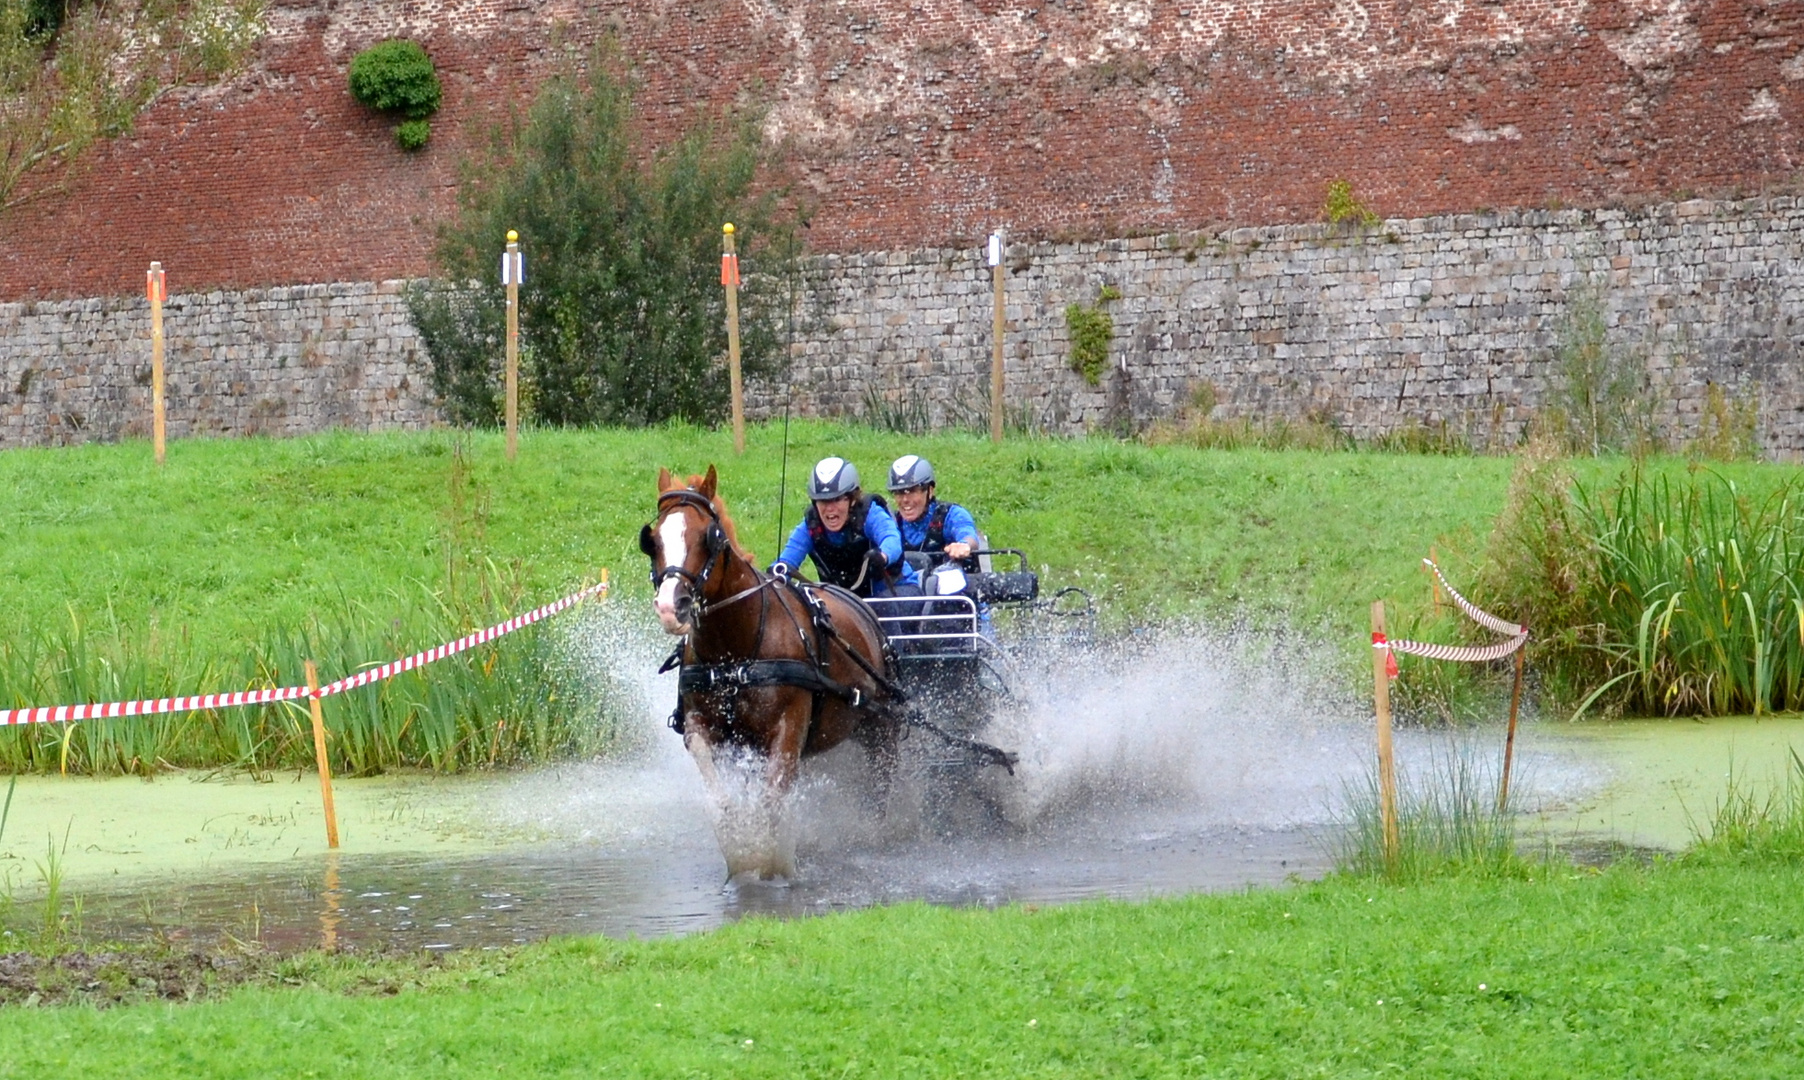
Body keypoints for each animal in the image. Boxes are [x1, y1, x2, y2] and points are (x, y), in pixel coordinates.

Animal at [645, 465, 902, 879]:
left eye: (707, 536)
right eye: (652, 540)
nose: (672, 607)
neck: (735, 652)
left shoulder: (786, 730)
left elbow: (772, 800)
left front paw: (770, 862)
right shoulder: (709, 730)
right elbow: (722, 794)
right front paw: (741, 848)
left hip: (882, 731)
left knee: (879, 789)